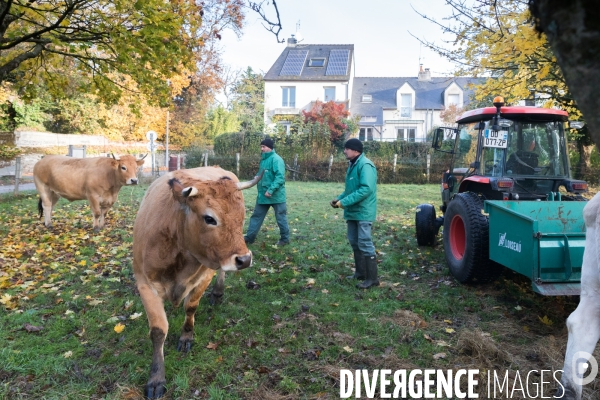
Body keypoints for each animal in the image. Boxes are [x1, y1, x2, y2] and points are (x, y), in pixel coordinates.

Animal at [132, 166, 262, 396]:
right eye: (209, 218)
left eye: (241, 215)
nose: (244, 259)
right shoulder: (145, 284)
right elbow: (158, 331)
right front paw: (156, 378)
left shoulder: (205, 274)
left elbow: (190, 307)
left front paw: (186, 337)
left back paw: (217, 293)